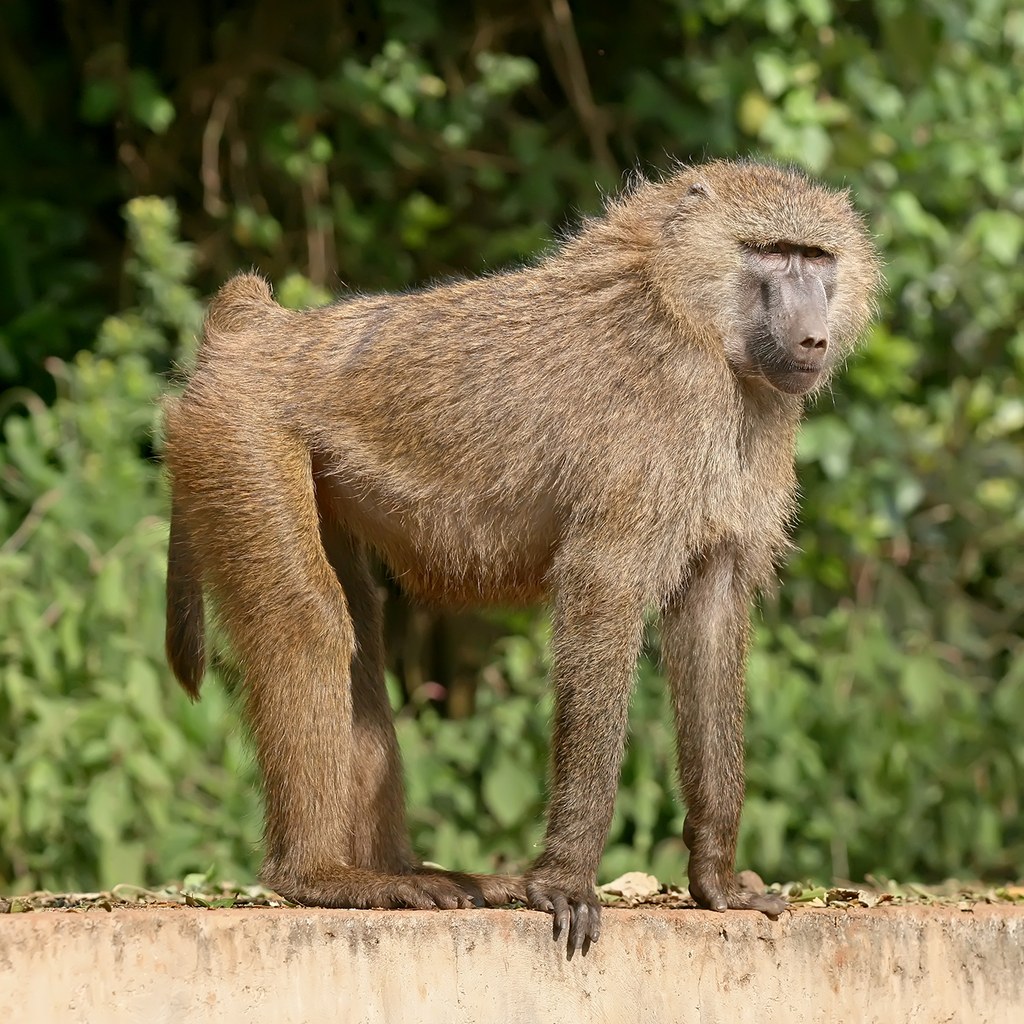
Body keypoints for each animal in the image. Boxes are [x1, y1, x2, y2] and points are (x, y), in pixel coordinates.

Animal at [164, 159, 880, 953]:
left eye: (817, 258)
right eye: (772, 253)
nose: (812, 339)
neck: (690, 316)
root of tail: (261, 330)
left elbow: (712, 618)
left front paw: (718, 882)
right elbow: (602, 590)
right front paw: (565, 882)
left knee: (359, 646)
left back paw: (401, 872)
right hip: (242, 434)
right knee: (309, 622)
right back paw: (322, 877)